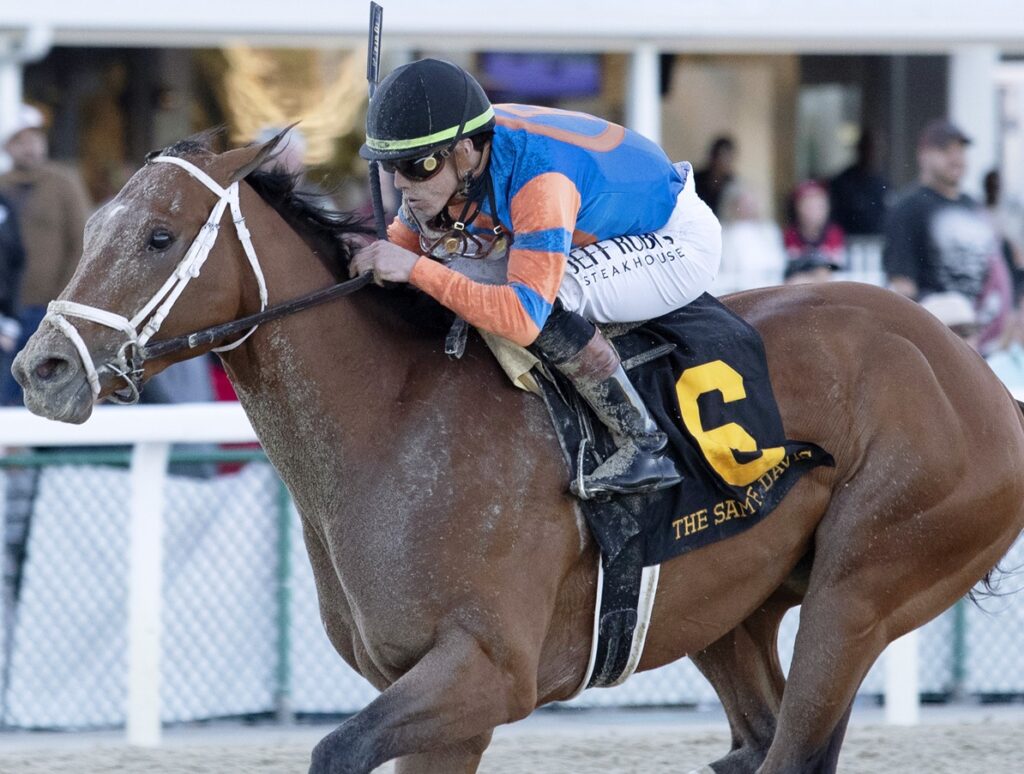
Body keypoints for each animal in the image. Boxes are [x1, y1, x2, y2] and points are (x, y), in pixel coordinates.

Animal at [12, 133, 1024, 774]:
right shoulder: (434, 706)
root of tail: (983, 380)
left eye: (158, 236)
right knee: (756, 738)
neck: (395, 421)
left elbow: (335, 748)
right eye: (95, 224)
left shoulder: (488, 673)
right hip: (731, 610)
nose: (41, 368)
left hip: (867, 583)